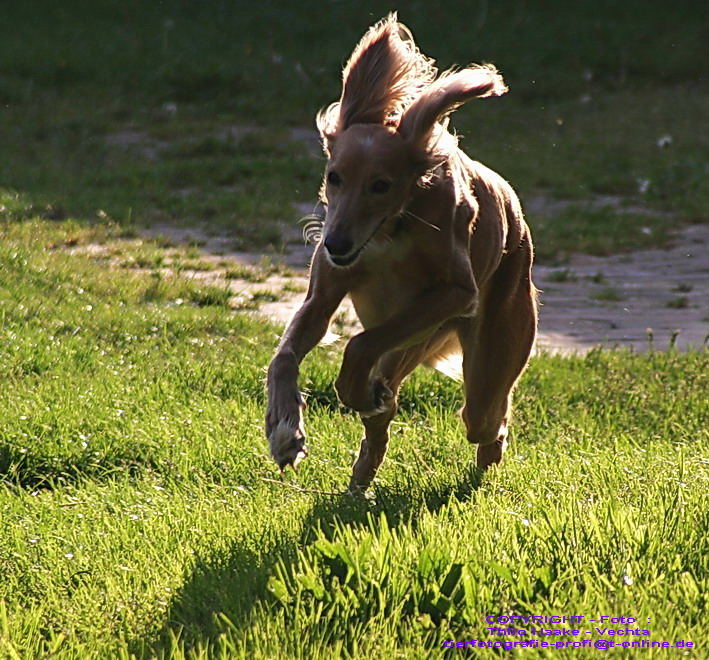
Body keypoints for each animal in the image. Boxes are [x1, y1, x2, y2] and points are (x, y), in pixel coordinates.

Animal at [266, 14, 536, 490]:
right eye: (334, 176)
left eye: (381, 185)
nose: (335, 244)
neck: (391, 232)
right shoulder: (324, 293)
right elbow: (285, 356)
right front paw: (285, 431)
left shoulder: (454, 292)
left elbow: (358, 345)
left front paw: (349, 392)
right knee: (385, 408)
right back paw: (362, 469)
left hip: (485, 346)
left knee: (486, 416)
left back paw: (486, 453)